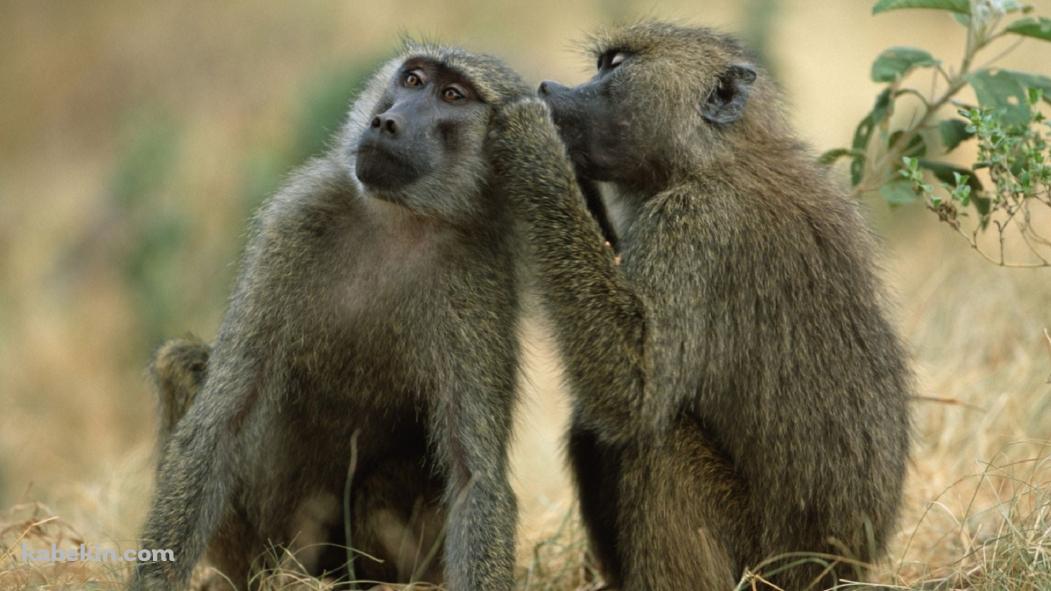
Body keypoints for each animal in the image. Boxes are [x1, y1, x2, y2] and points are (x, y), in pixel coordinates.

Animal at [129, 43, 532, 591]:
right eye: (412, 79)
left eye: (452, 95)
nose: (386, 122)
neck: (399, 221)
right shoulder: (294, 221)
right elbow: (218, 422)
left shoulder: (481, 280)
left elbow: (476, 478)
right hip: (266, 546)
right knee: (179, 362)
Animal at [488, 21, 912, 590]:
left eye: (615, 65)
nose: (549, 88)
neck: (713, 156)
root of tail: (841, 570)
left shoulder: (697, 225)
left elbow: (635, 390)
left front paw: (534, 141)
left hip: (762, 563)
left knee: (656, 442)